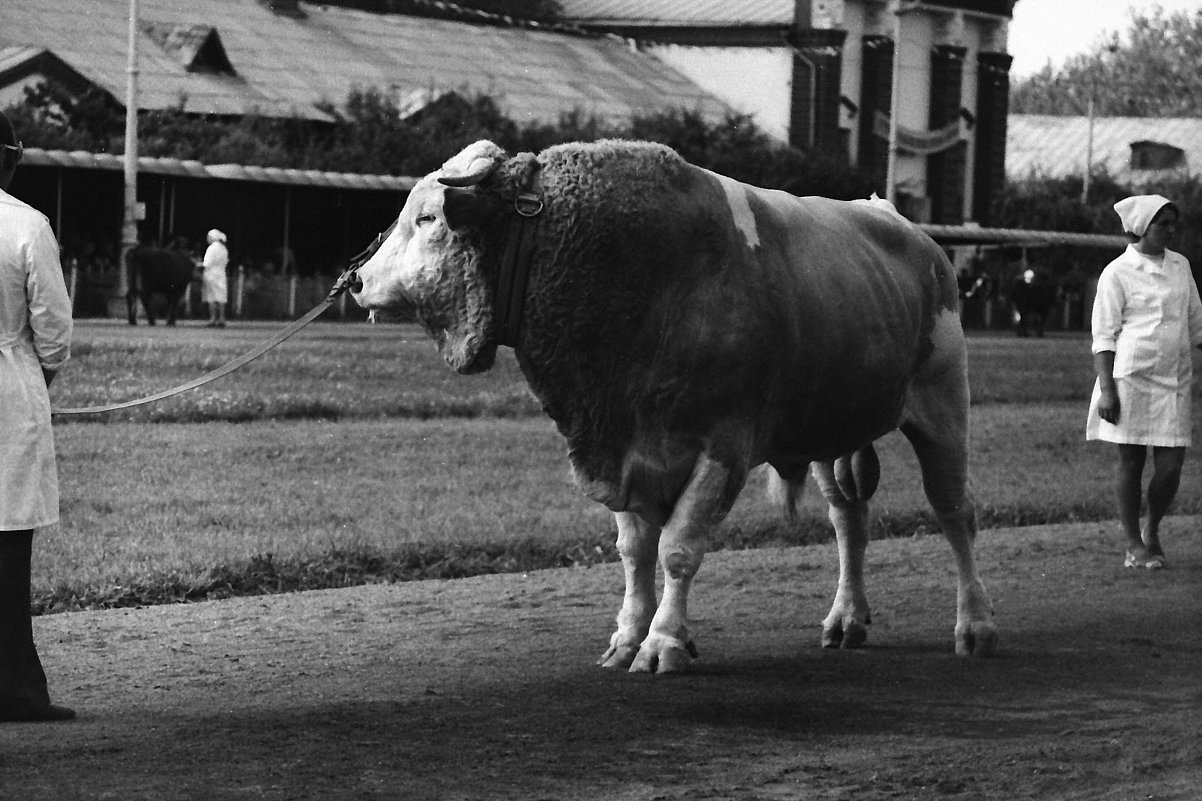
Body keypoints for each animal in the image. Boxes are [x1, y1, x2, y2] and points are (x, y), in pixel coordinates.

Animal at [350, 140, 995, 668]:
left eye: (427, 218)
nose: (356, 280)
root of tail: (899, 221)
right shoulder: (620, 441)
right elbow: (635, 551)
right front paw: (628, 635)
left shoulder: (721, 446)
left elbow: (679, 548)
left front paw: (663, 641)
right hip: (831, 430)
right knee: (849, 520)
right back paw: (846, 617)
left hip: (943, 407)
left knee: (955, 512)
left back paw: (975, 624)